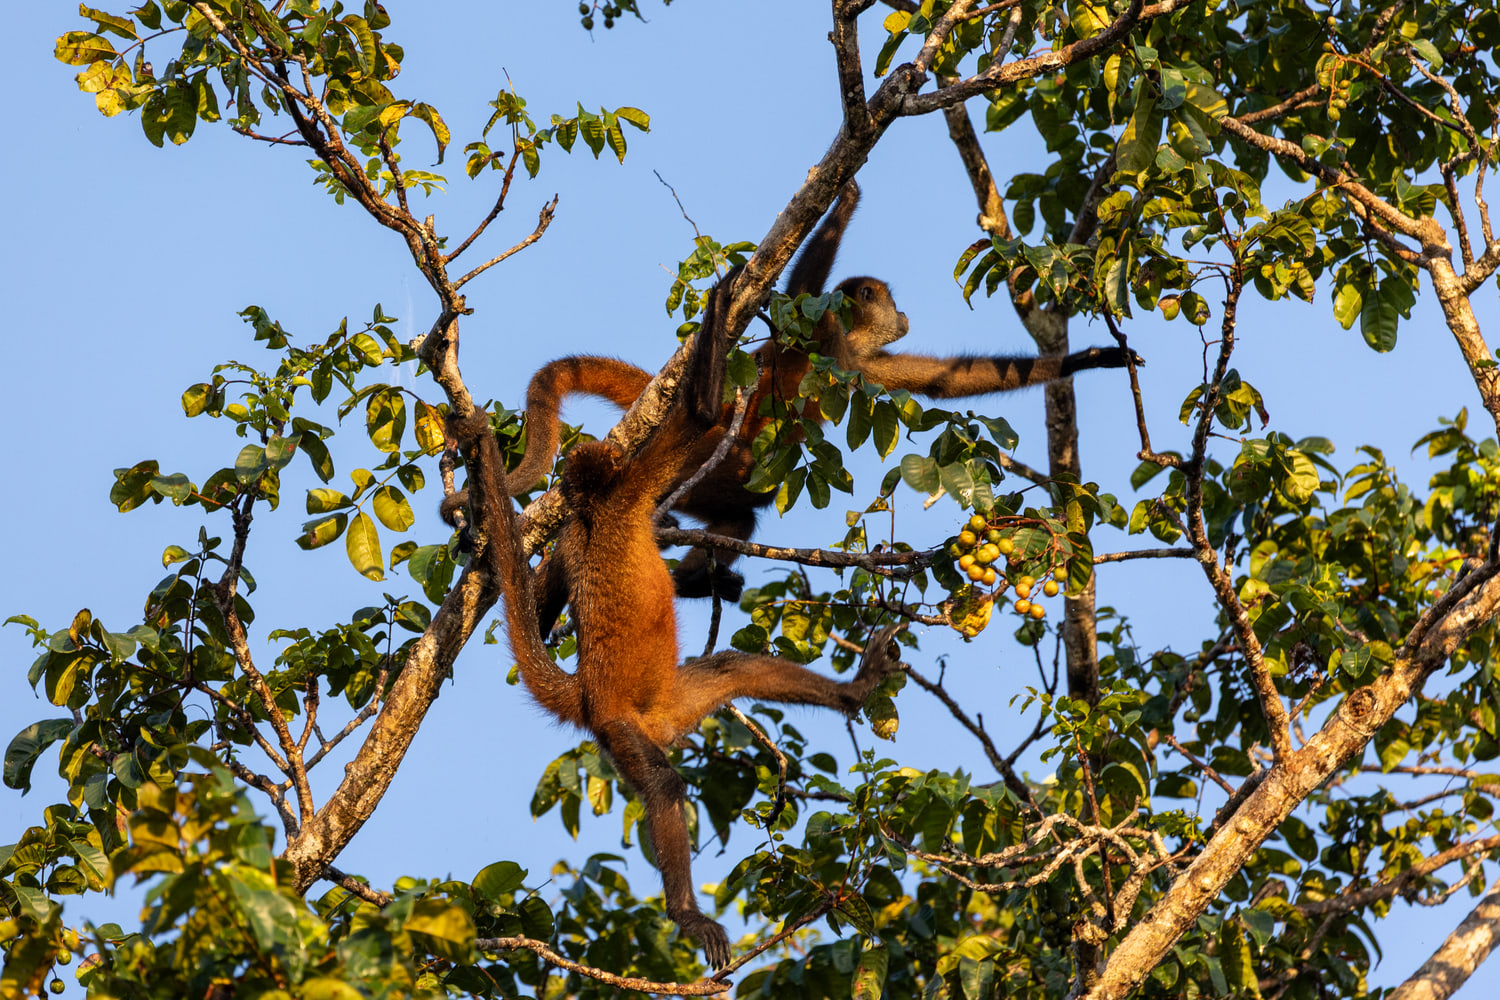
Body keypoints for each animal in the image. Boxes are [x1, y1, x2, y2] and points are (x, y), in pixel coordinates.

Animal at [446, 270, 908, 969]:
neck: (598, 512)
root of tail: (589, 697)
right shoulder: (630, 489)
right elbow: (699, 419)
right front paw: (725, 296)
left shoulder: (591, 521)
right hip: (622, 734)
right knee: (663, 785)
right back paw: (687, 914)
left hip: (676, 701)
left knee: (732, 668)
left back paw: (855, 689)